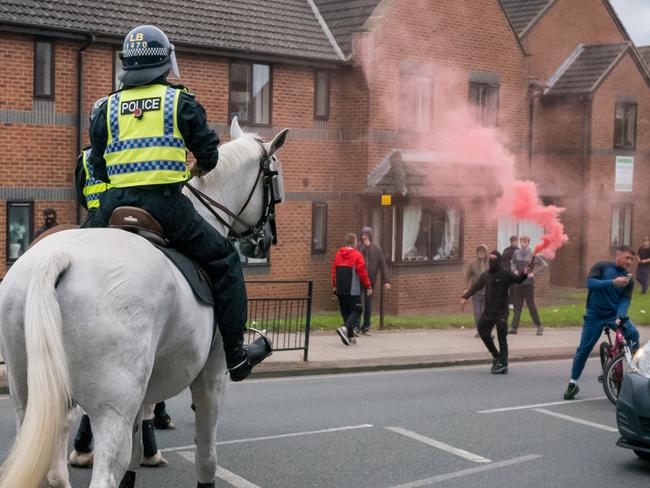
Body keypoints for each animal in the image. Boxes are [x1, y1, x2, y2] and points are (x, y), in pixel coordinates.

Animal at [0, 118, 288, 488]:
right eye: (274, 175)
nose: (264, 241)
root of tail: (56, 257)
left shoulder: (141, 397)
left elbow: (134, 458)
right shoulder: (212, 376)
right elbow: (207, 456)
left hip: (31, 401)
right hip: (111, 406)